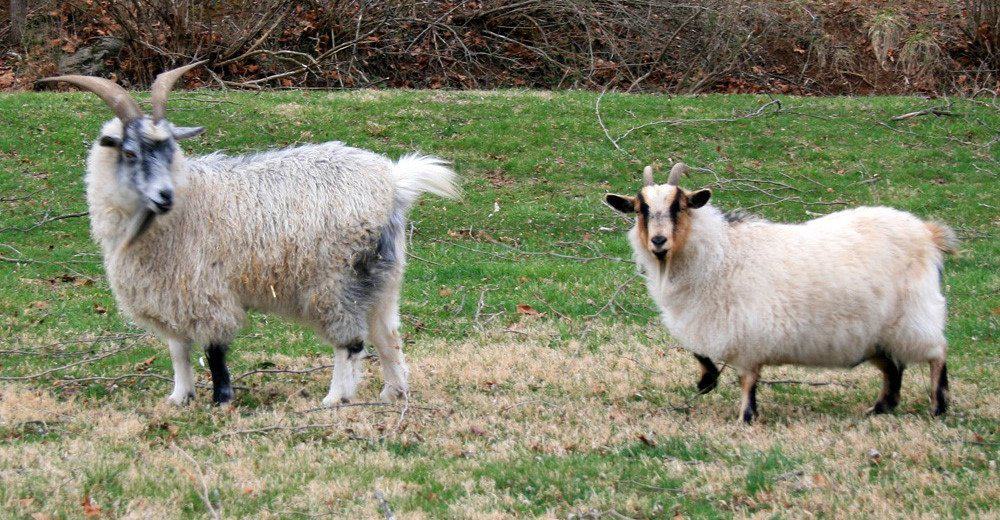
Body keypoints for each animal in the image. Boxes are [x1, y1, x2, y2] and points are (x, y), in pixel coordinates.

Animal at [40, 64, 460, 406]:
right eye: (129, 153)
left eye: (170, 147)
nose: (165, 196)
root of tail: (393, 182)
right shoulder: (171, 292)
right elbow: (178, 349)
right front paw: (179, 397)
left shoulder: (206, 289)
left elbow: (214, 350)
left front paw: (221, 400)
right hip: (383, 277)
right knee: (387, 335)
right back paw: (393, 392)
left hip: (338, 278)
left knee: (351, 342)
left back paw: (335, 398)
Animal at [604, 162, 956, 422]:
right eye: (641, 209)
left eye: (679, 206)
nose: (659, 241)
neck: (721, 252)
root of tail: (928, 232)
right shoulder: (709, 322)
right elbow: (698, 351)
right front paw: (707, 381)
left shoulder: (747, 330)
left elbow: (747, 379)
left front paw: (746, 416)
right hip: (875, 334)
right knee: (894, 368)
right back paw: (880, 408)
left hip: (915, 314)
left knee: (937, 353)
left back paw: (938, 407)